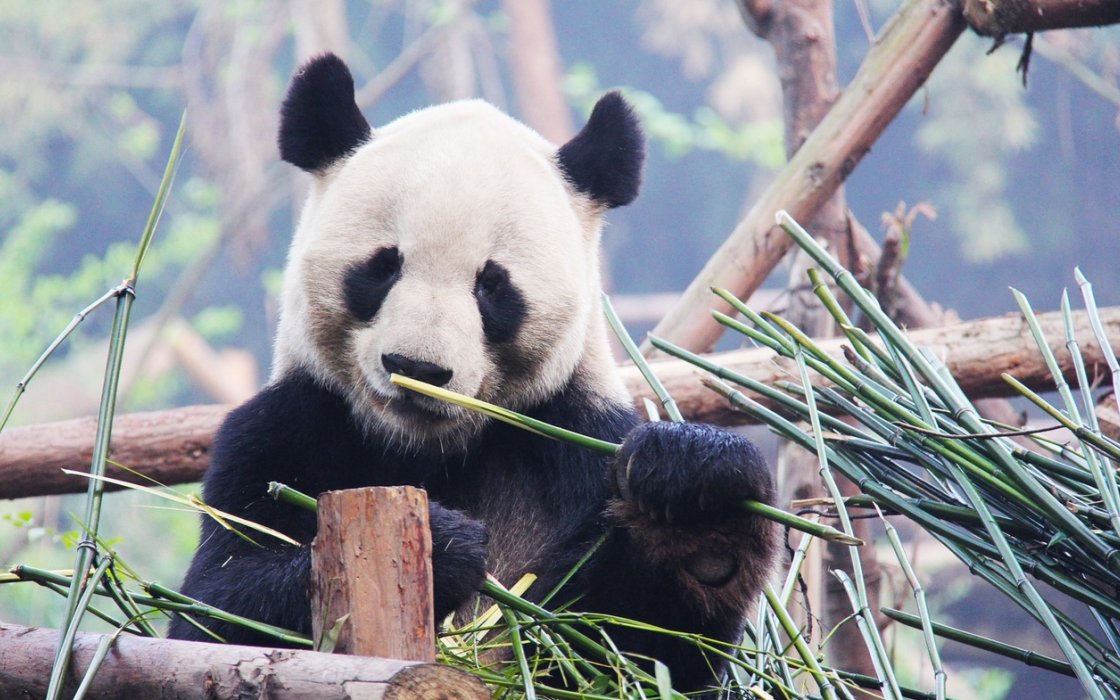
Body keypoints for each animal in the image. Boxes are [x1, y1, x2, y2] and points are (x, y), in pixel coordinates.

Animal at [172, 53, 779, 689]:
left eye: (492, 285)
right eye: (383, 266)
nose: (416, 367)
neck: (426, 450)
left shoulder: (577, 439)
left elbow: (633, 652)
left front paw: (696, 497)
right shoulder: (284, 427)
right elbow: (212, 611)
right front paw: (443, 545)